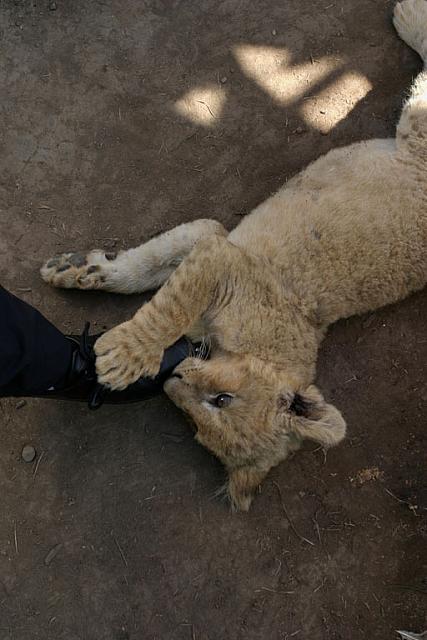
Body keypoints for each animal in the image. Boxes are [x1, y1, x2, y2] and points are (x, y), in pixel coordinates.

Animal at [41, 0, 427, 510]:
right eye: (221, 400)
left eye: (204, 418)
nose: (172, 378)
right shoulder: (222, 252)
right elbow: (158, 291)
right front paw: (114, 341)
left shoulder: (213, 244)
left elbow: (157, 281)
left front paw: (84, 278)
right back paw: (409, 16)